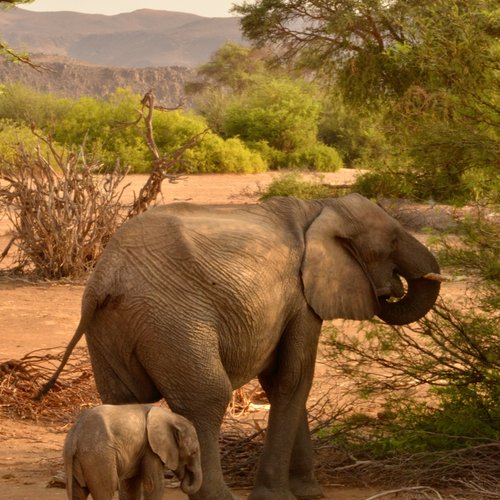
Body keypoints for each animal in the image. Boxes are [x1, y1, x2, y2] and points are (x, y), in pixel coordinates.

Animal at [64, 404, 201, 498]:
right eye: (193, 452)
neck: (171, 417)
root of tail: (75, 434)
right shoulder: (150, 448)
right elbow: (154, 485)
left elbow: (131, 486)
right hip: (98, 456)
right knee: (107, 489)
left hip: (77, 457)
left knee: (78, 491)